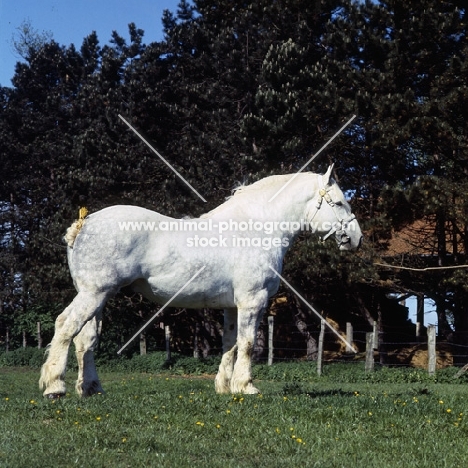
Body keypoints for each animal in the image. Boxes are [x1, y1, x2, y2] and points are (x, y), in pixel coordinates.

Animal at [39, 166, 362, 396]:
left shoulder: (232, 307)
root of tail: (85, 223)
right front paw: (246, 386)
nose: (356, 238)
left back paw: (91, 388)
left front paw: (225, 387)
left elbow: (230, 343)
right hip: (94, 293)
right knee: (66, 326)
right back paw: (55, 386)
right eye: (338, 202)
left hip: (97, 296)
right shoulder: (253, 301)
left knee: (85, 338)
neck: (255, 228)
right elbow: (247, 344)